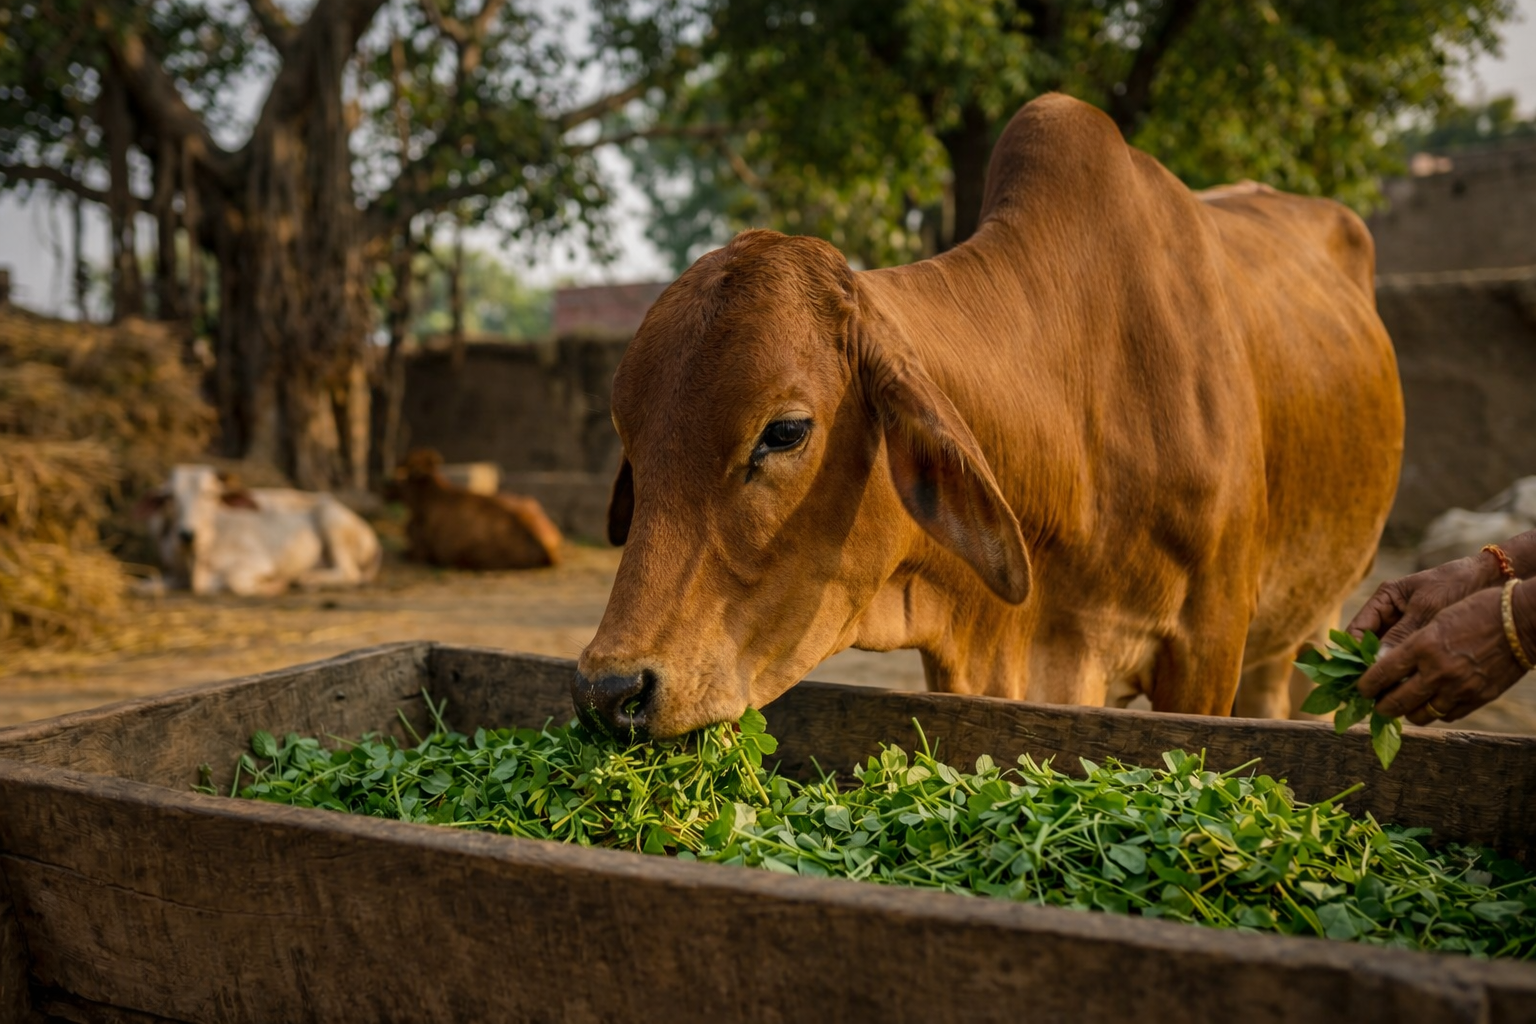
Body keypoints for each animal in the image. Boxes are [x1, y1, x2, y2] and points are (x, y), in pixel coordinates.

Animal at [140, 465, 382, 596]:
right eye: (170, 497)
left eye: (210, 494)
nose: (187, 534)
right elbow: (142, 585)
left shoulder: (256, 561)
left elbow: (233, 583)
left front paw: (275, 585)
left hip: (330, 521)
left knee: (349, 572)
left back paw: (304, 579)